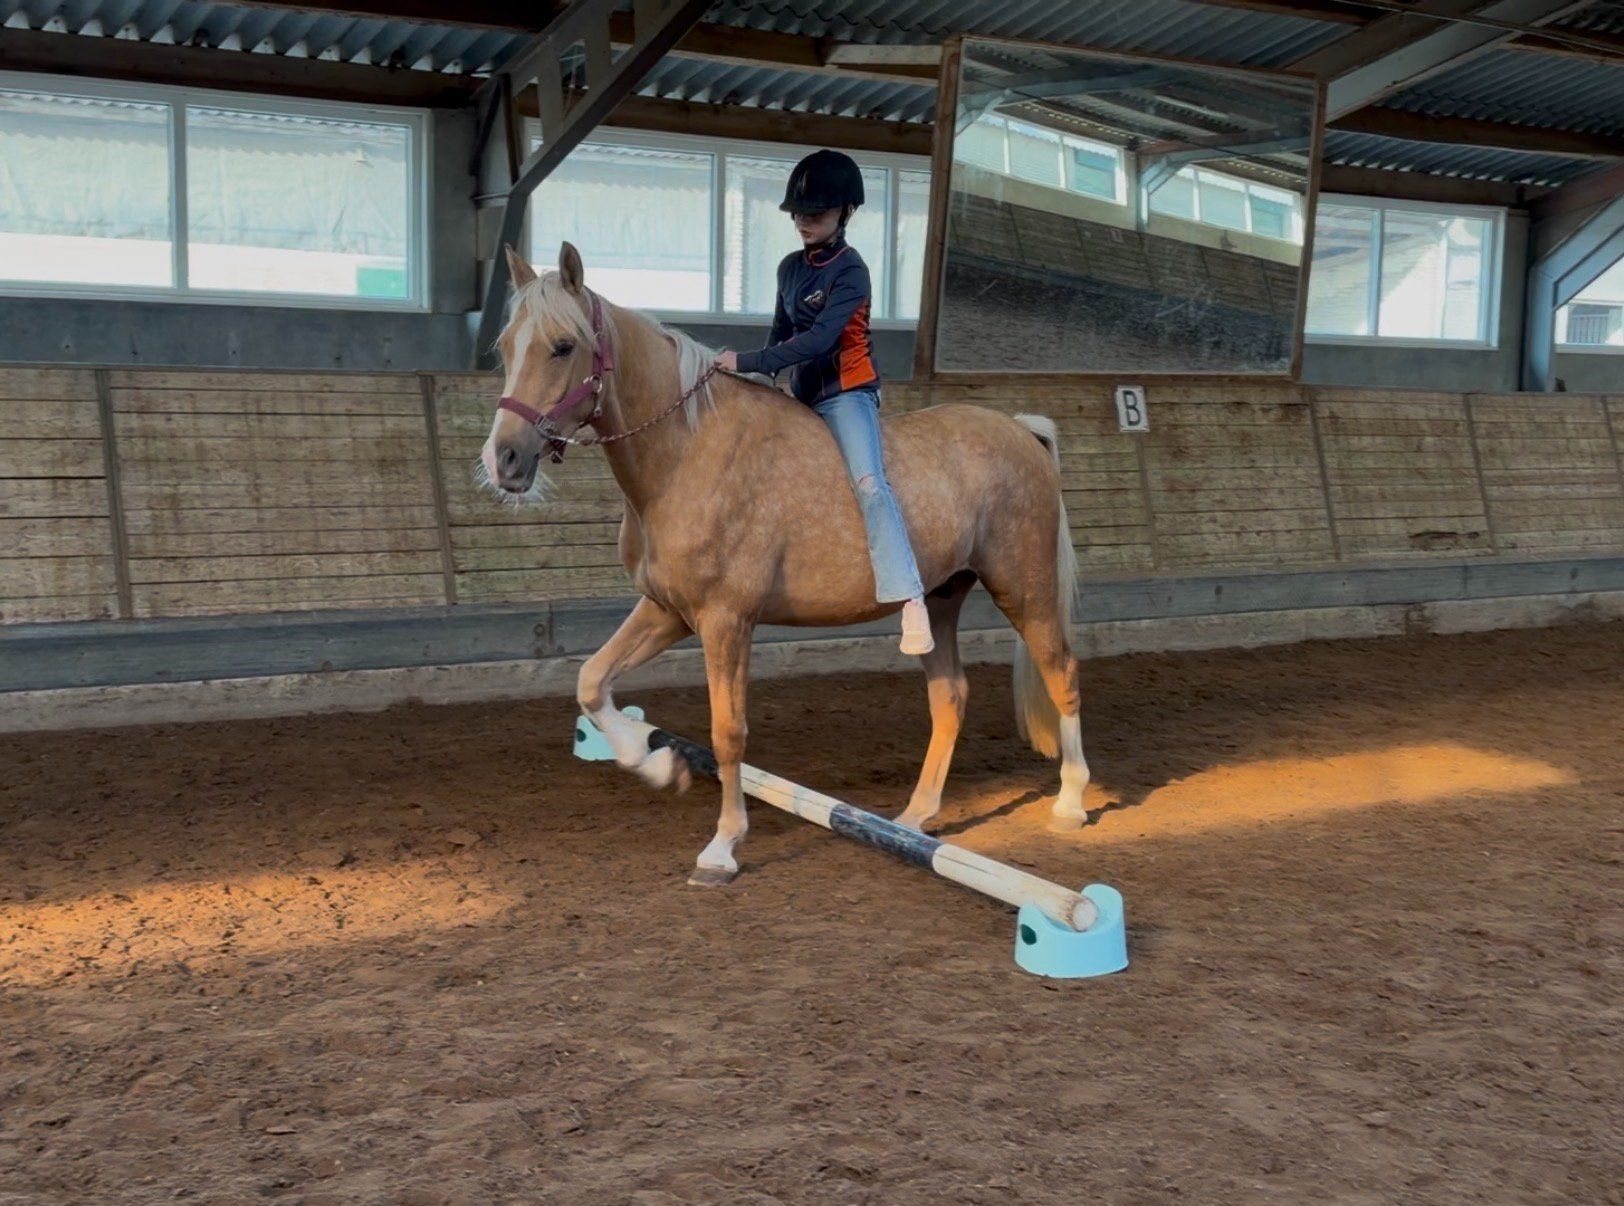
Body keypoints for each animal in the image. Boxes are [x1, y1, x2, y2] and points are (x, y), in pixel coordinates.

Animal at [482, 243, 1091, 886]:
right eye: (506, 346)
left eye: (562, 346)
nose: (504, 460)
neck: (686, 450)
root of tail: (1021, 431)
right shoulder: (668, 610)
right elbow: (592, 681)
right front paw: (658, 765)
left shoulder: (726, 621)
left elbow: (728, 732)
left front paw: (723, 846)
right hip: (941, 601)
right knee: (950, 696)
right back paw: (915, 817)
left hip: (1025, 590)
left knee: (1062, 674)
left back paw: (1071, 802)